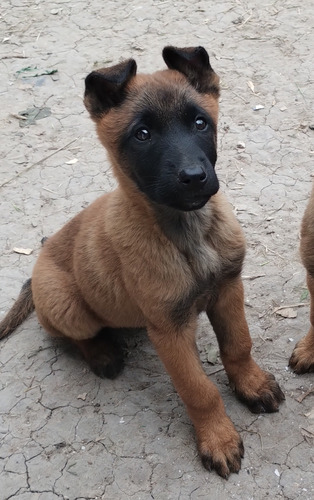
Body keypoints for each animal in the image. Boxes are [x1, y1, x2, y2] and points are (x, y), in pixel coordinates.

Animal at [0, 46, 284, 476]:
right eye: (143, 135)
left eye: (200, 123)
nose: (194, 176)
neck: (186, 232)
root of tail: (34, 279)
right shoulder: (170, 330)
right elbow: (199, 390)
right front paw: (217, 437)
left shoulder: (228, 288)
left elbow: (238, 345)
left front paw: (251, 385)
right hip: (68, 305)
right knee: (72, 334)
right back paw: (102, 354)